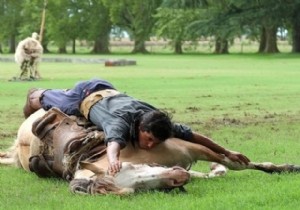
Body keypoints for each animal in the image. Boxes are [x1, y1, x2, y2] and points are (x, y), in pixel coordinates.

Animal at [0, 108, 300, 195]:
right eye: (138, 190)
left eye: (129, 168)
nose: (178, 178)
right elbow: (223, 167)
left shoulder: (189, 147)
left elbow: (235, 162)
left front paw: (286, 167)